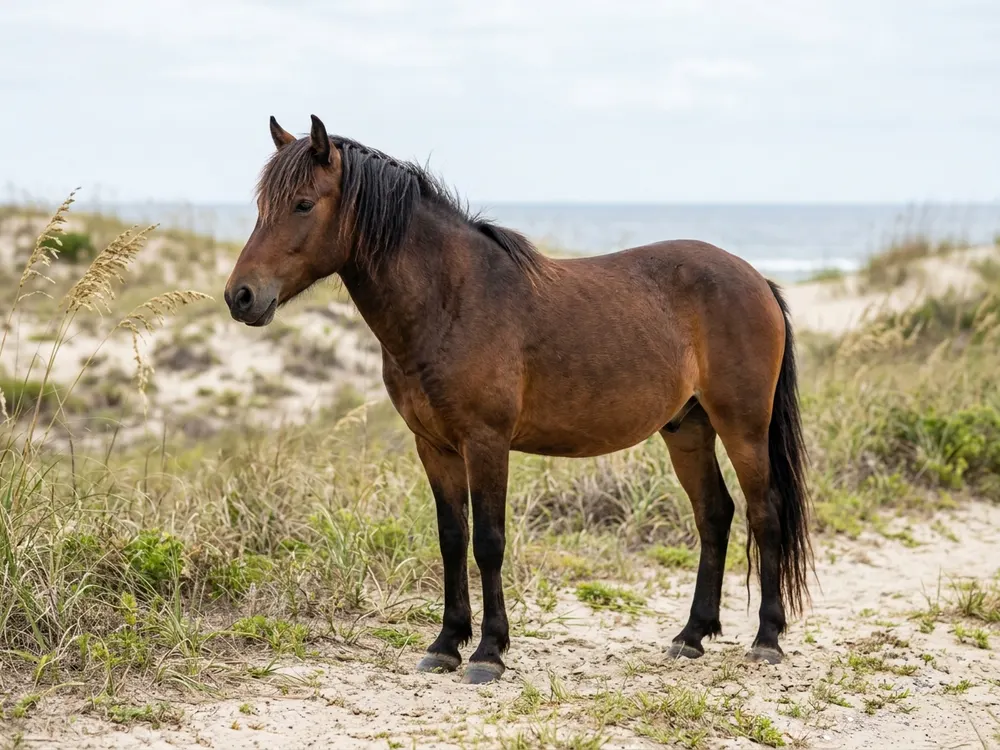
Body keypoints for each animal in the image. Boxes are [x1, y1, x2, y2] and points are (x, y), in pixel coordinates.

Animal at [225, 114, 813, 685]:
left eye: (303, 204)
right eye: (261, 206)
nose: (241, 296)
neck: (451, 299)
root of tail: (755, 278)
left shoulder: (486, 443)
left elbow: (488, 541)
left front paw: (489, 651)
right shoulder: (433, 447)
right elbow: (452, 537)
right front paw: (445, 644)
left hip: (742, 426)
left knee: (765, 512)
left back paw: (766, 640)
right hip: (687, 429)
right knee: (714, 514)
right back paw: (691, 635)